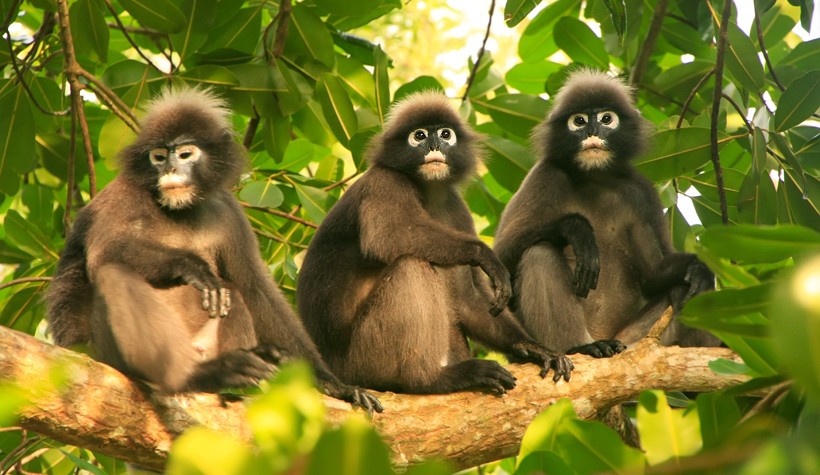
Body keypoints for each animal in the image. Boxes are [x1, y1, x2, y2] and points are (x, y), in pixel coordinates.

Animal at [48, 87, 384, 414]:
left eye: (185, 154)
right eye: (159, 157)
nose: (170, 168)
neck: (179, 210)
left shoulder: (229, 212)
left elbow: (254, 287)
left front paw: (334, 385)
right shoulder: (121, 195)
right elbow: (103, 254)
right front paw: (190, 265)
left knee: (232, 291)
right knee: (114, 273)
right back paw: (196, 375)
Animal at [298, 92, 572, 394]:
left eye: (445, 134)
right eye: (418, 135)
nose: (433, 145)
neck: (427, 191)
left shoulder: (456, 209)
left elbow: (467, 297)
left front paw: (534, 347)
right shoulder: (385, 181)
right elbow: (388, 234)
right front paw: (485, 255)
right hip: (361, 360)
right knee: (411, 265)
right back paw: (431, 378)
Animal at [494, 69, 716, 360]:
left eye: (606, 119)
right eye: (579, 121)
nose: (592, 131)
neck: (595, 177)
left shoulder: (641, 191)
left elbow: (654, 274)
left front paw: (700, 268)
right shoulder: (545, 175)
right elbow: (500, 258)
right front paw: (578, 230)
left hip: (631, 338)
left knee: (684, 289)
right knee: (539, 253)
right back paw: (581, 347)